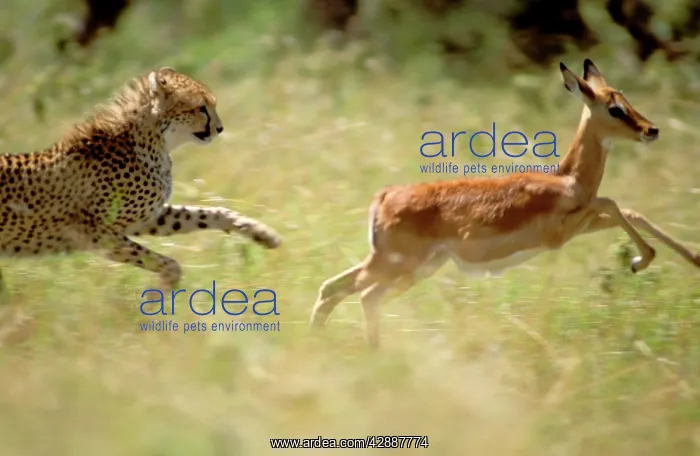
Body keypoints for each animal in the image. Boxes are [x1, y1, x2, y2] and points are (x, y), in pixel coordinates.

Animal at [0, 67, 281, 299]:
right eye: (201, 107)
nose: (220, 128)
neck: (153, 141)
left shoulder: (147, 217)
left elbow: (208, 213)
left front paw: (261, 232)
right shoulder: (93, 233)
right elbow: (165, 262)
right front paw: (159, 295)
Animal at [310, 58, 700, 348]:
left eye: (626, 98)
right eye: (614, 108)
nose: (652, 130)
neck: (566, 180)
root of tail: (384, 197)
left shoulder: (580, 224)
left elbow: (630, 210)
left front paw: (688, 258)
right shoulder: (563, 231)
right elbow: (613, 203)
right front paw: (639, 261)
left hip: (413, 268)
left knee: (341, 291)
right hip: (397, 265)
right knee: (354, 294)